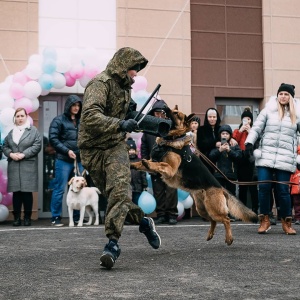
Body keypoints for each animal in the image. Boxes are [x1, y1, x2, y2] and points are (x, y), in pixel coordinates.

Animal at [131, 105, 258, 246]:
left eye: (176, 114)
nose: (164, 107)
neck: (171, 139)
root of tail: (220, 187)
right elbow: (143, 164)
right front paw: (132, 164)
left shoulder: (170, 169)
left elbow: (158, 164)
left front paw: (147, 163)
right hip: (202, 209)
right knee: (213, 220)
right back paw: (210, 235)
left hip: (214, 209)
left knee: (226, 219)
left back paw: (229, 238)